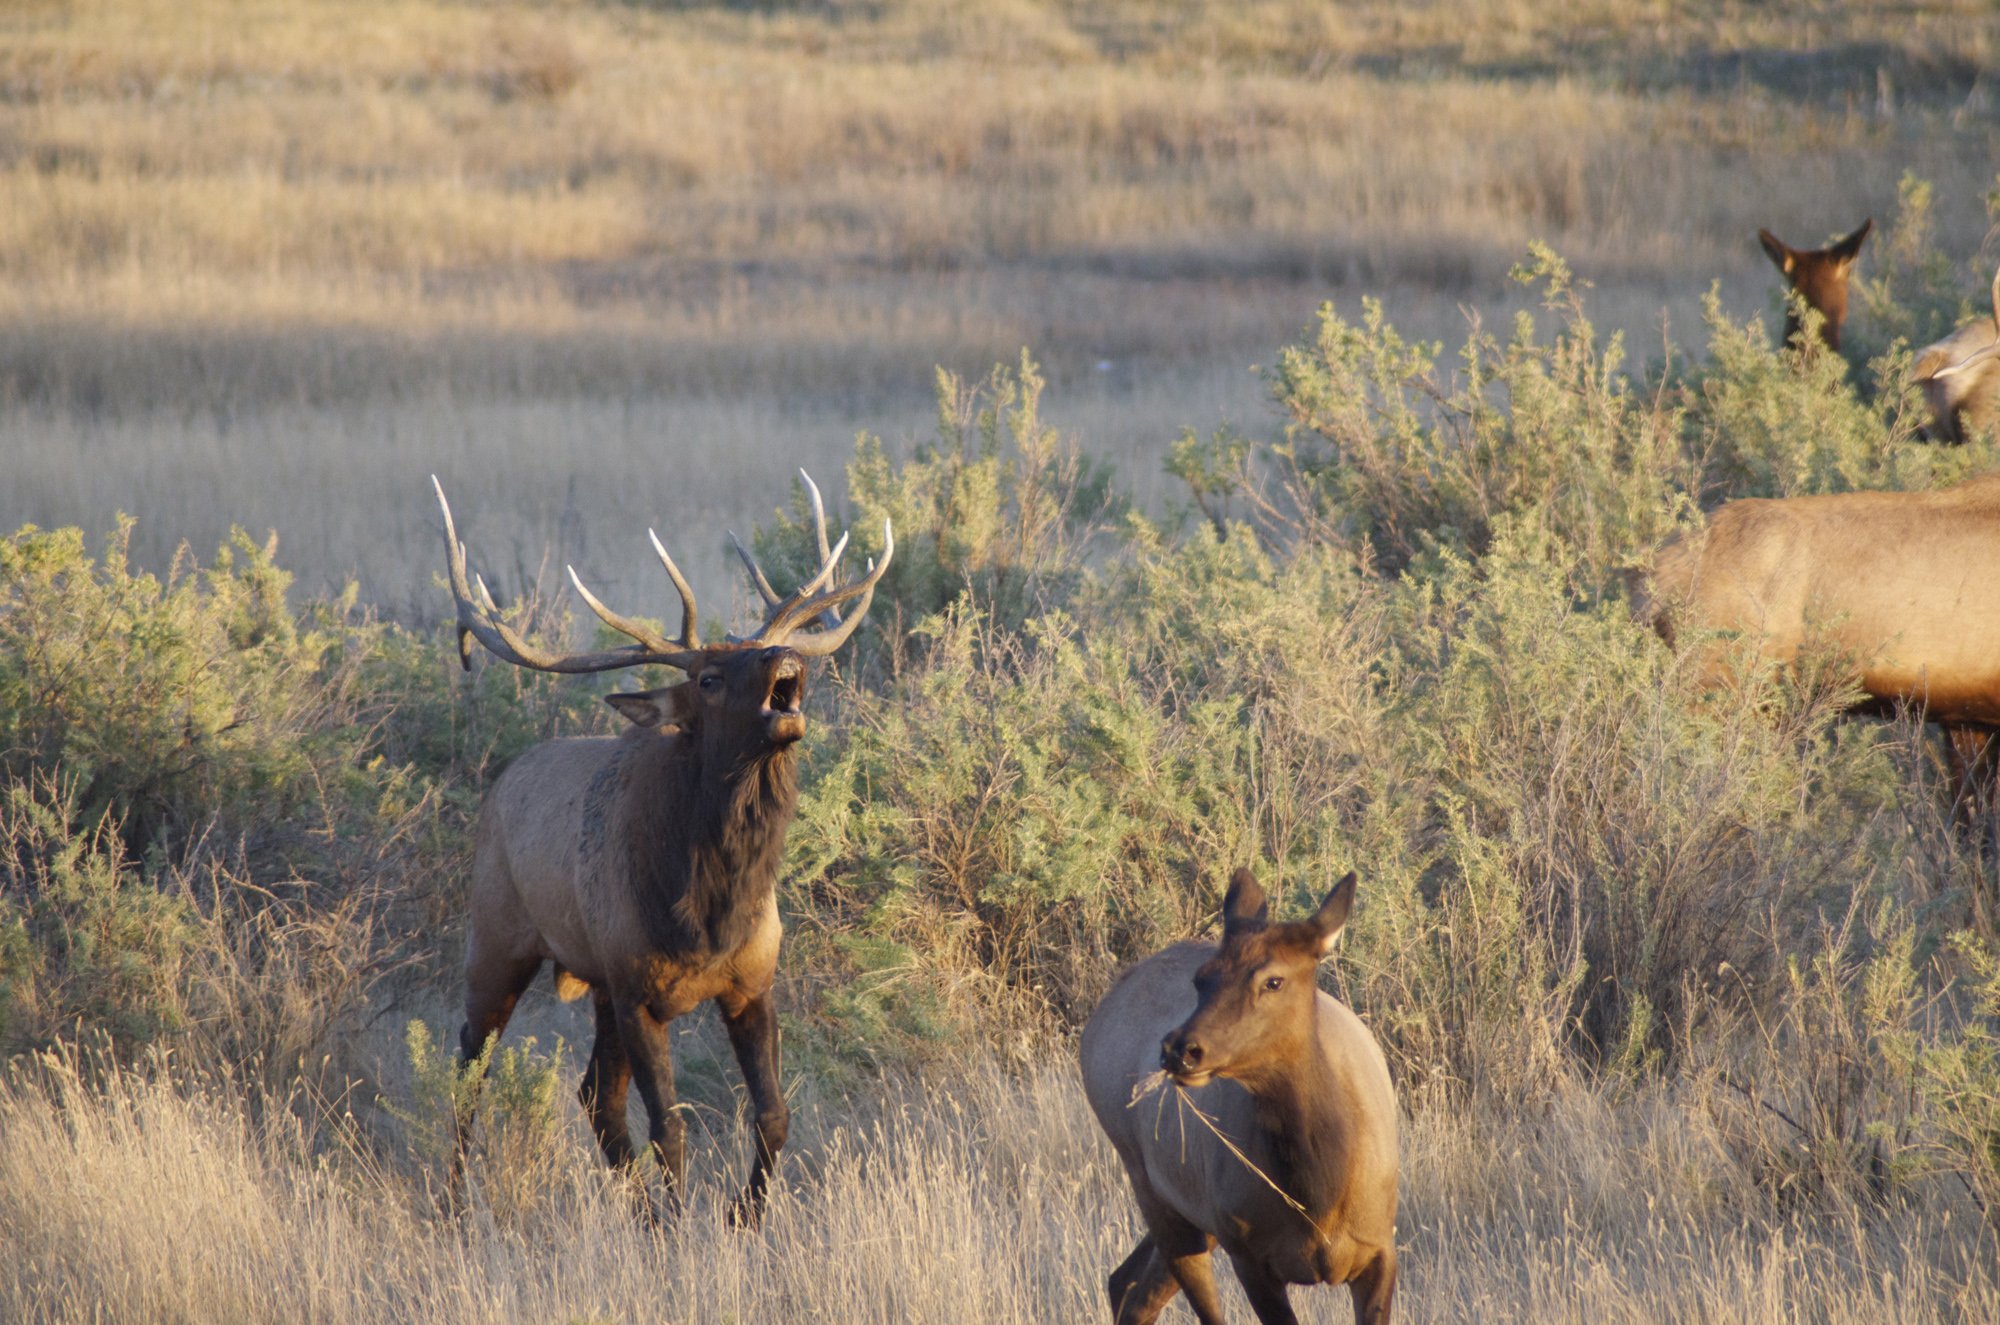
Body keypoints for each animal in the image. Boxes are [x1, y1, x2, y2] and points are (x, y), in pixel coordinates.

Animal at [434, 474, 896, 1224]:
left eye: (755, 652)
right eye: (707, 677)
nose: (787, 657)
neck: (708, 913)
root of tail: (501, 782)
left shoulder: (750, 983)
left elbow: (774, 1114)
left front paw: (742, 1216)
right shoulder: (639, 991)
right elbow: (670, 1128)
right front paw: (684, 1226)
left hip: (595, 985)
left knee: (595, 1095)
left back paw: (640, 1213)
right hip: (498, 940)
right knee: (469, 1069)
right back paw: (452, 1206)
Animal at [1088, 872, 1400, 1325]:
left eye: (1273, 980)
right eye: (1202, 978)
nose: (1180, 1049)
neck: (1319, 1196)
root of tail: (1094, 1024)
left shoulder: (1380, 1249)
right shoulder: (1252, 1258)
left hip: (1195, 1218)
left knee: (1129, 1282)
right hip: (1152, 1187)